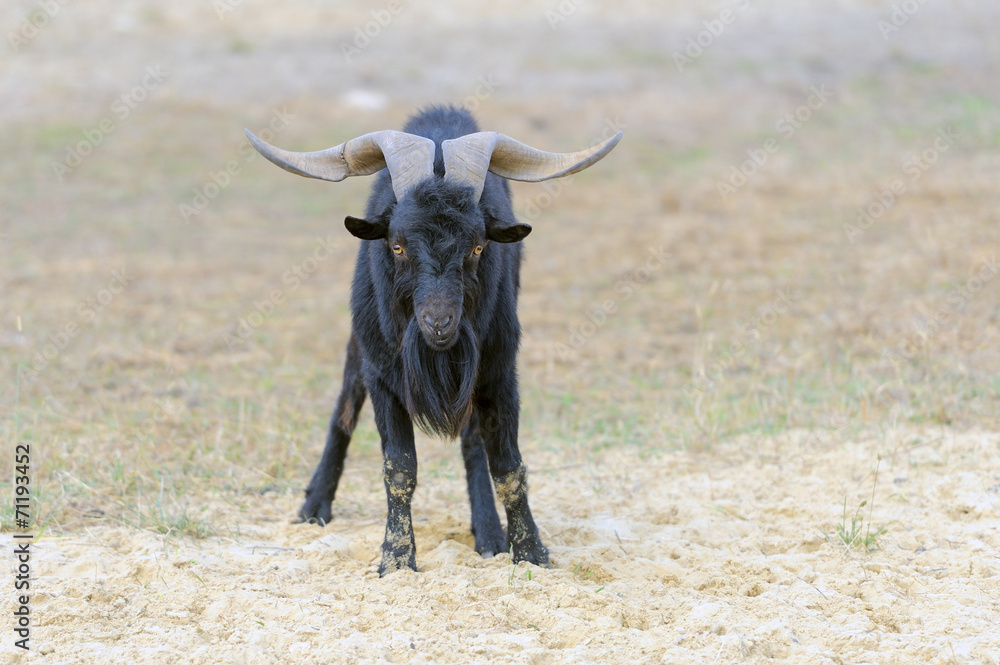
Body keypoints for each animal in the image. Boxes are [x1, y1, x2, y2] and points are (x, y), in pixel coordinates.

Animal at [247, 106, 620, 572]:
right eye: (397, 245)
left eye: (478, 246)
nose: (439, 322)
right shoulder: (382, 374)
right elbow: (399, 468)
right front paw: (396, 559)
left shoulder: (499, 372)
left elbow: (508, 467)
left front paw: (531, 552)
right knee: (345, 406)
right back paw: (314, 507)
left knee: (473, 441)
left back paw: (489, 534)